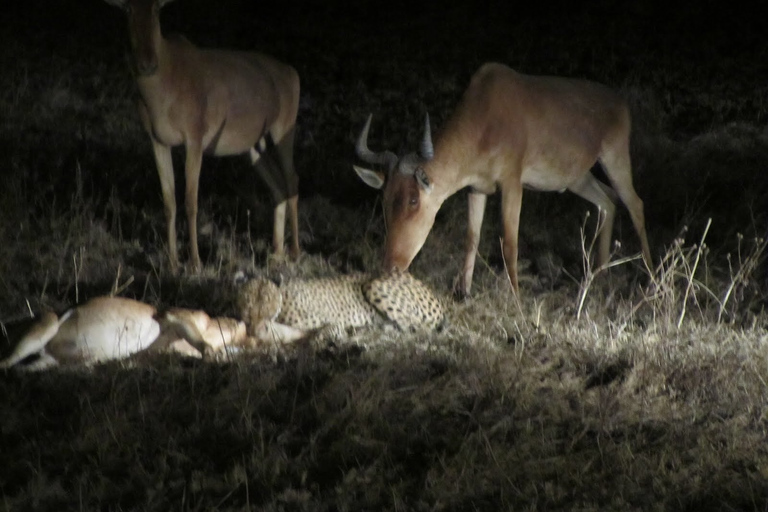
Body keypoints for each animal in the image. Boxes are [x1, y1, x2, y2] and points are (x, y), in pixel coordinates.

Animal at [104, 0, 300, 274]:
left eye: (157, 8)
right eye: (127, 9)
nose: (147, 64)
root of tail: (291, 72)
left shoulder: (194, 141)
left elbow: (191, 201)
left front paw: (195, 262)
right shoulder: (158, 142)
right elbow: (169, 201)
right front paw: (173, 263)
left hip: (283, 132)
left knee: (292, 181)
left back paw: (295, 253)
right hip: (254, 147)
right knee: (278, 187)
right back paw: (276, 254)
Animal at [237, 268, 448, 344]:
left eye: (268, 304)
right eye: (247, 303)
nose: (255, 327)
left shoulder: (335, 322)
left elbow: (323, 333)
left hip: (375, 285)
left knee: (417, 327)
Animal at [352, 63, 648, 296]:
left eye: (414, 200)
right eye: (385, 199)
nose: (391, 267)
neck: (487, 107)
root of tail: (620, 102)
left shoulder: (512, 184)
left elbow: (509, 243)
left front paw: (515, 298)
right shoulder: (476, 188)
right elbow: (471, 238)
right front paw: (463, 292)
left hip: (615, 158)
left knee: (635, 203)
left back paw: (650, 279)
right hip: (578, 178)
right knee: (607, 202)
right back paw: (600, 276)